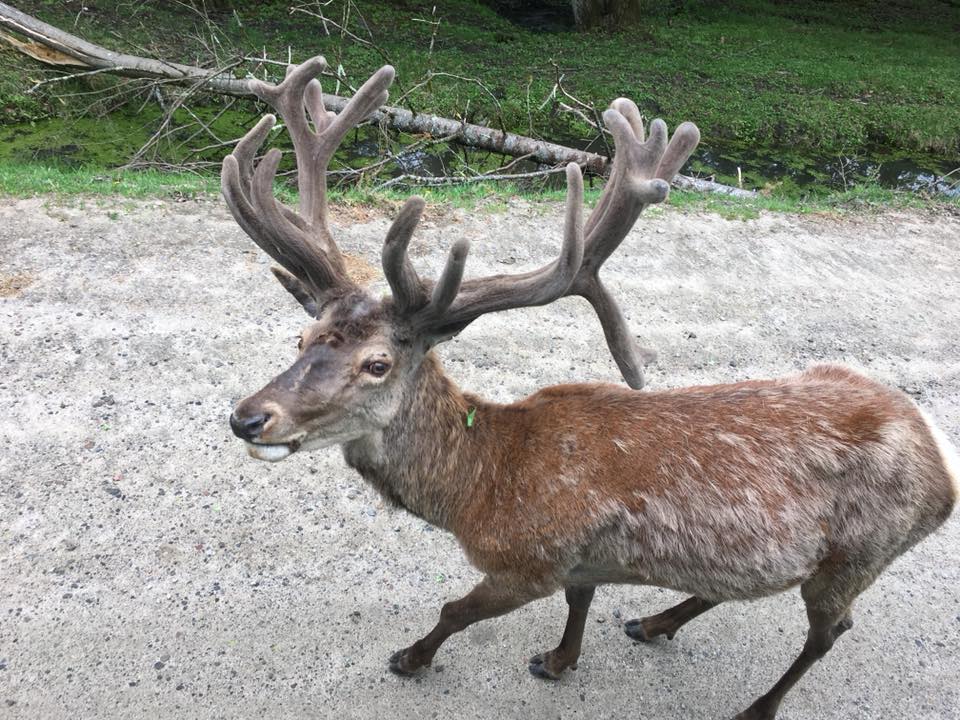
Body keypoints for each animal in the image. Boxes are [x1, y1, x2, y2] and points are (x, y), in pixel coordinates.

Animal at [221, 57, 958, 720]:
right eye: (302, 340)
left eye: (377, 364)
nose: (248, 418)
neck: (477, 489)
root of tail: (941, 463)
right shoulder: (580, 560)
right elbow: (583, 600)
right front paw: (558, 660)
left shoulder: (528, 561)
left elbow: (455, 608)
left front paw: (411, 658)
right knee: (743, 586)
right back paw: (654, 623)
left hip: (860, 554)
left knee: (830, 631)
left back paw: (757, 707)